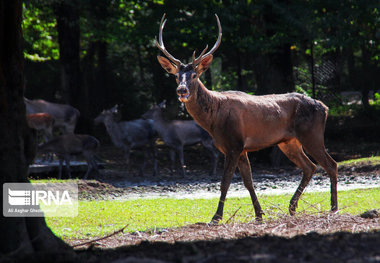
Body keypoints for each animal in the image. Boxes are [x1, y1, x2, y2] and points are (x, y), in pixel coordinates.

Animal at [155, 14, 338, 224]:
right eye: (177, 76)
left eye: (194, 75)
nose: (182, 90)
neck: (213, 120)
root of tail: (325, 107)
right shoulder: (240, 148)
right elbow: (248, 182)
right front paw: (259, 214)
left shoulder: (234, 145)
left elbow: (225, 182)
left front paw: (216, 217)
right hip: (289, 141)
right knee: (310, 166)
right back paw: (292, 208)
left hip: (311, 134)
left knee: (330, 164)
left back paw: (333, 208)